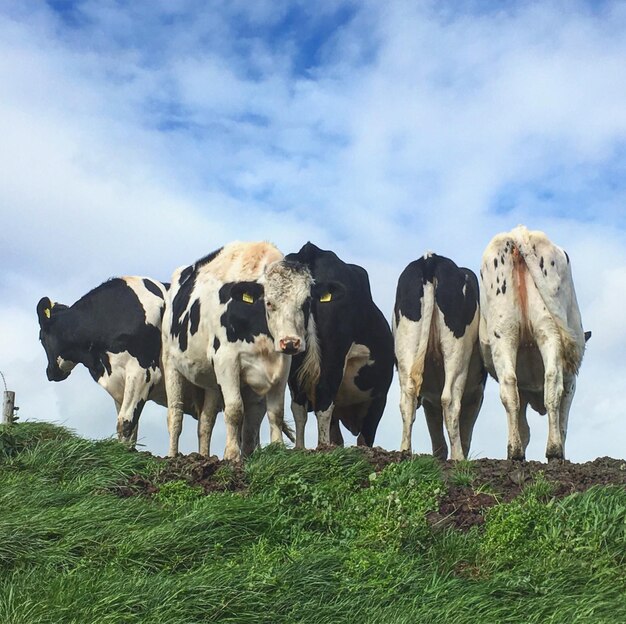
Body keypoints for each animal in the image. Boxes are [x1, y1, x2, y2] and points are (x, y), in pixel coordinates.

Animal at [36, 276, 200, 444]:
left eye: (40, 337)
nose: (50, 372)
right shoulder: (118, 382)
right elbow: (131, 429)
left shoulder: (144, 372)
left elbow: (125, 423)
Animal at [158, 241, 290, 460]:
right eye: (269, 303)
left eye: (306, 302)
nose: (291, 342)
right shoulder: (227, 361)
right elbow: (235, 410)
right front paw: (232, 455)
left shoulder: (280, 369)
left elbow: (268, 416)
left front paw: (273, 451)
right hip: (171, 363)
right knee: (175, 414)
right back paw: (173, 455)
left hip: (211, 380)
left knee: (206, 422)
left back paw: (203, 456)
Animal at [392, 251, 486, 460]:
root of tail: (430, 258)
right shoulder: (476, 394)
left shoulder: (429, 401)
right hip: (457, 351)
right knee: (450, 400)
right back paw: (458, 457)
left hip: (406, 344)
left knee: (407, 397)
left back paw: (404, 450)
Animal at [480, 227, 588, 460]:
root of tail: (519, 233)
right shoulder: (571, 382)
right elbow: (563, 422)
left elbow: (523, 424)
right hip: (549, 328)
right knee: (553, 383)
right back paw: (554, 451)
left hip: (505, 331)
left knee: (510, 385)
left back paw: (515, 452)